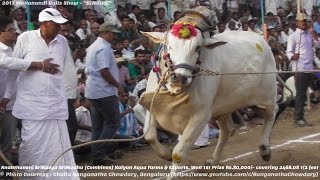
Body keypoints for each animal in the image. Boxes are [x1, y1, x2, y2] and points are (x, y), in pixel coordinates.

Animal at [140, 25, 278, 179]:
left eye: (197, 48)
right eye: (169, 46)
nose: (180, 77)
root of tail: (261, 40)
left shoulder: (201, 117)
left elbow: (178, 153)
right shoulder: (153, 105)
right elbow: (149, 135)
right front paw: (166, 154)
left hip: (267, 95)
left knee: (272, 113)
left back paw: (265, 149)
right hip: (224, 108)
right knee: (227, 131)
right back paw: (212, 162)